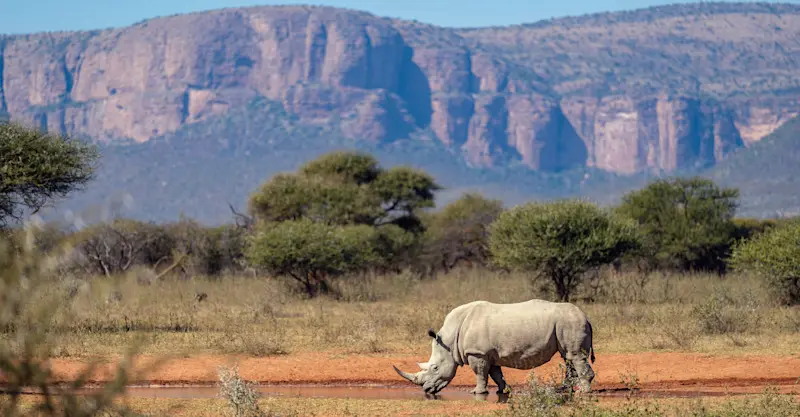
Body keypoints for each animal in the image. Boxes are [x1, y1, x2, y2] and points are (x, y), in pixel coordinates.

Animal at [393, 299, 596, 396]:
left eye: (435, 368)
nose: (426, 389)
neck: (449, 340)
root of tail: (586, 316)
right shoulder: (488, 353)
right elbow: (495, 373)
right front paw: (503, 391)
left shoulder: (477, 353)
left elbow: (480, 373)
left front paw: (477, 392)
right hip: (565, 323)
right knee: (567, 356)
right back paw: (564, 389)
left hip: (570, 322)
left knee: (575, 356)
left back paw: (583, 392)